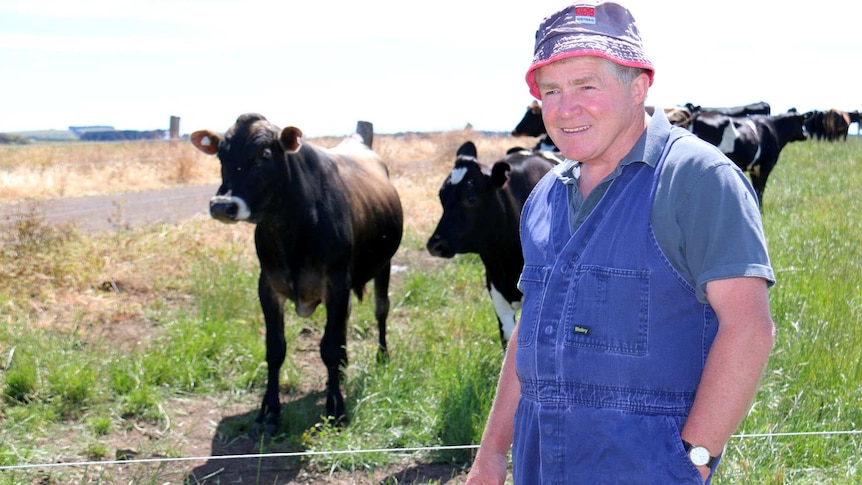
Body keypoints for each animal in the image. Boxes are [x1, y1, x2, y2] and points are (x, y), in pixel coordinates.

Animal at [191, 115, 404, 432]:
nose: (221, 205)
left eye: (264, 155)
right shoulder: (268, 286)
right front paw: (270, 412)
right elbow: (275, 349)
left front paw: (336, 408)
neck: (291, 228)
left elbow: (329, 347)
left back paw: (382, 357)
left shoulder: (337, 283)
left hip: (383, 265)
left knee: (380, 310)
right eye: (221, 156)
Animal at [680, 110, 808, 207]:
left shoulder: (754, 169)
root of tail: (697, 115)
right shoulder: (766, 165)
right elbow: (760, 189)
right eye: (801, 122)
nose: (806, 135)